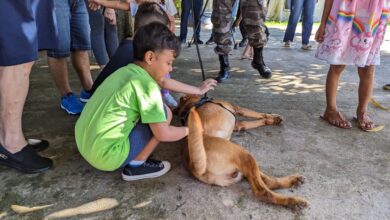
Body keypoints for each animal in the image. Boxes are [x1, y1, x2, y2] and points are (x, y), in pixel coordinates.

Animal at [178, 94, 310, 210]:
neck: (191, 103)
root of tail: (193, 166)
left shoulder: (238, 124)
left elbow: (251, 122)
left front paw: (271, 120)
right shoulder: (237, 109)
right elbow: (258, 114)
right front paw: (272, 118)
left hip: (244, 161)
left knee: (267, 181)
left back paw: (293, 181)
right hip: (243, 154)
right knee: (261, 190)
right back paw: (293, 201)